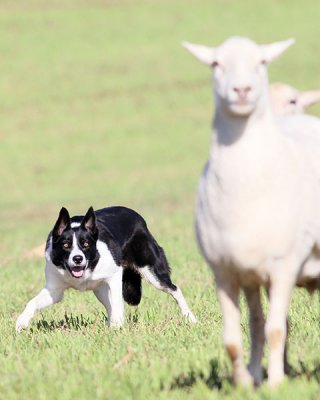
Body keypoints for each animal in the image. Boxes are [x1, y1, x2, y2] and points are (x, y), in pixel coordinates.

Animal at [182, 36, 320, 388]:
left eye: (262, 62)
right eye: (216, 63)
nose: (242, 90)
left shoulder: (284, 267)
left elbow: (275, 330)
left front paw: (275, 384)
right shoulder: (226, 272)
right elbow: (240, 335)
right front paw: (247, 382)